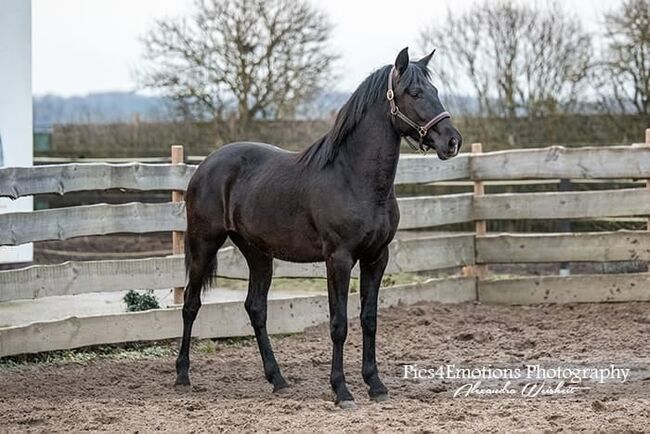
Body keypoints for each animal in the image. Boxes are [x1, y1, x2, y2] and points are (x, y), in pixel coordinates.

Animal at [175, 48, 464, 410]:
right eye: (414, 93)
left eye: (435, 89)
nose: (452, 141)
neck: (354, 178)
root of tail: (205, 166)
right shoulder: (338, 259)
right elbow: (339, 323)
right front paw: (342, 391)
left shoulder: (376, 257)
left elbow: (369, 319)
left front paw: (376, 385)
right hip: (204, 244)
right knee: (190, 304)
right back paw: (182, 377)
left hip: (258, 253)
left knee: (256, 308)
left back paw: (278, 380)